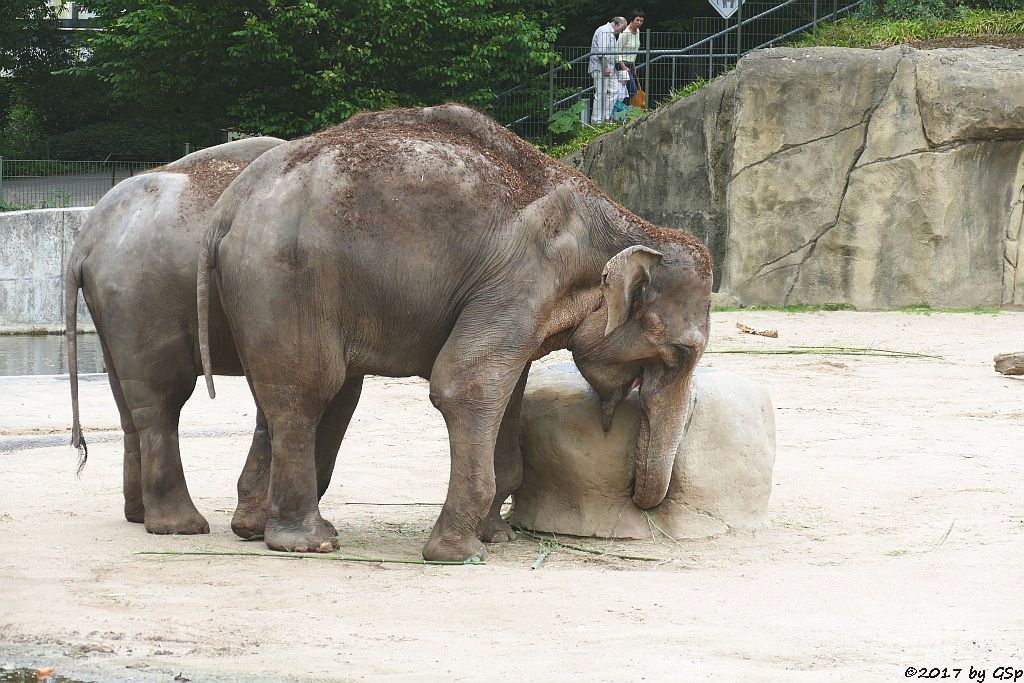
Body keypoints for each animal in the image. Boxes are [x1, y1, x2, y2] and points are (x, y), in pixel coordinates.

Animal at [66, 136, 360, 536]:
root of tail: (87, 235)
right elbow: (337, 390)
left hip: (113, 309)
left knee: (126, 401)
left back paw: (140, 516)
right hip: (141, 301)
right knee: (161, 397)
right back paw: (181, 526)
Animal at [199, 104, 712, 565]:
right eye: (682, 351)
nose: (634, 491)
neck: (616, 223)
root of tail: (230, 204)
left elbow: (508, 393)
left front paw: (497, 536)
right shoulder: (523, 277)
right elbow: (465, 385)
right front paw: (460, 553)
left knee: (272, 394)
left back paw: (256, 528)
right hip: (285, 281)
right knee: (306, 391)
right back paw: (308, 543)